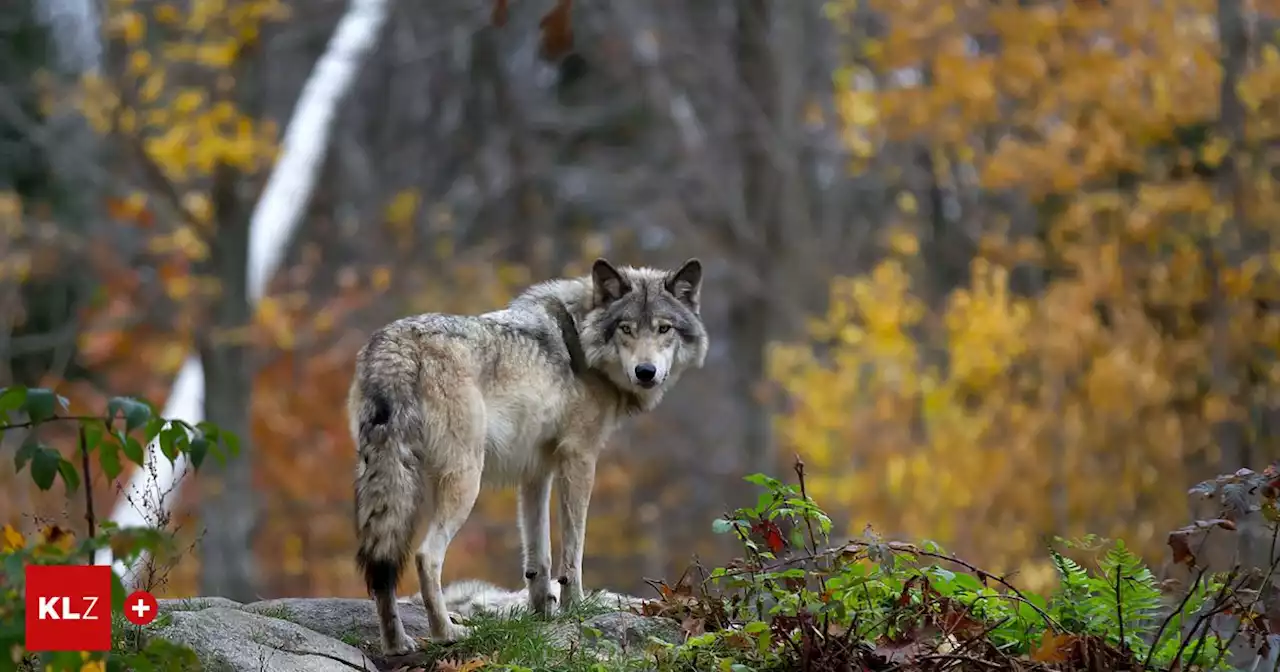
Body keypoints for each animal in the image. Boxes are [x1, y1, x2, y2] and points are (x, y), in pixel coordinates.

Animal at [350, 256, 711, 650]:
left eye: (664, 329)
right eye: (626, 329)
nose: (646, 372)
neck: (580, 342)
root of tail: (395, 345)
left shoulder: (536, 472)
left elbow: (539, 556)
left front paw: (542, 614)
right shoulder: (580, 458)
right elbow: (572, 551)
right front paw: (574, 608)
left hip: (389, 481)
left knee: (381, 566)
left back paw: (397, 644)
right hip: (465, 480)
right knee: (425, 556)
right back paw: (447, 632)